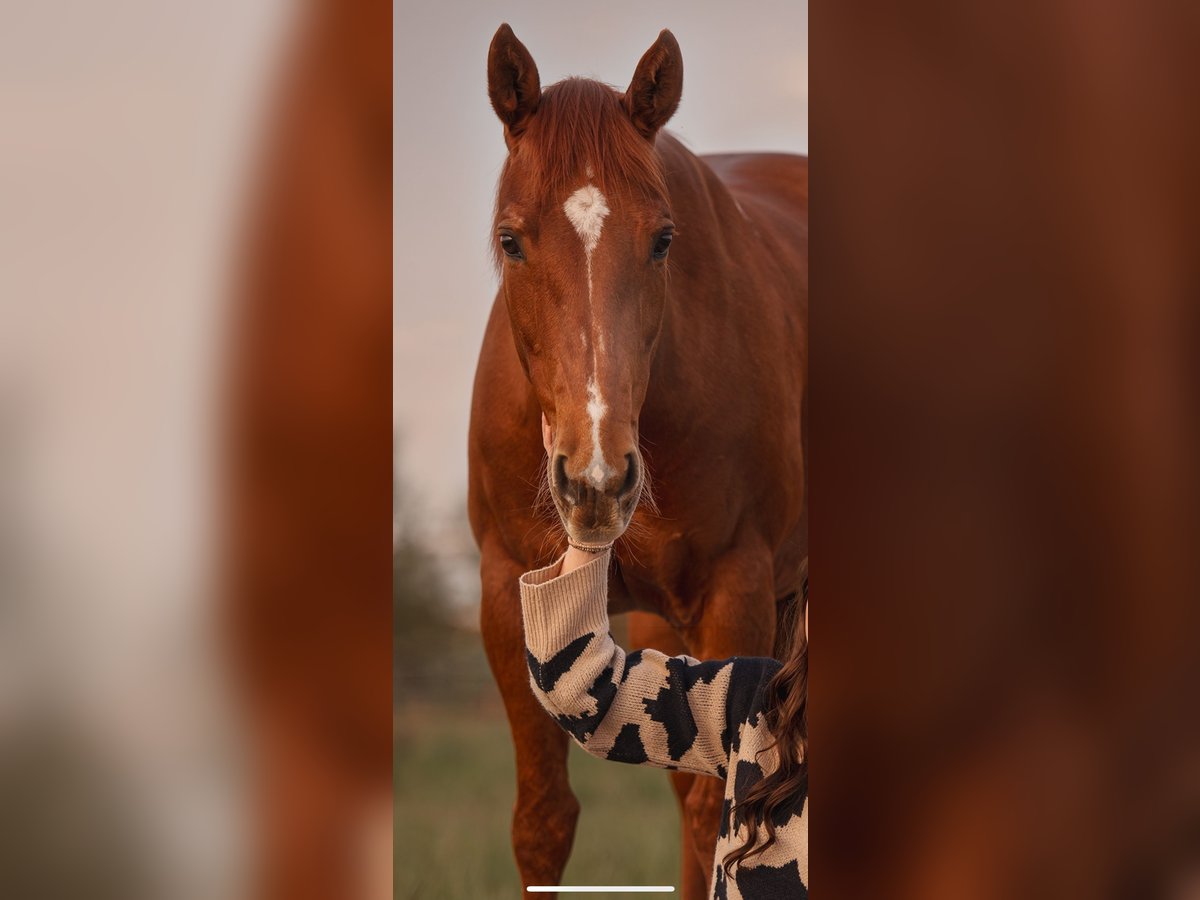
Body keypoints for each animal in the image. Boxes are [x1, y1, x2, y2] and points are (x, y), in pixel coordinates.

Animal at [467, 25, 808, 898]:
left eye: (662, 240)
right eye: (511, 240)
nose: (596, 482)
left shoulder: (735, 588)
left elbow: (721, 810)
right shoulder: (506, 593)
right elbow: (544, 822)